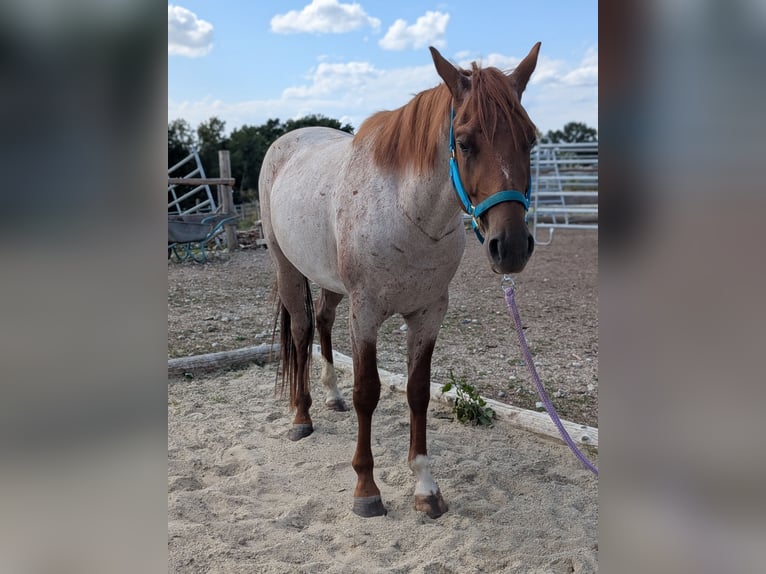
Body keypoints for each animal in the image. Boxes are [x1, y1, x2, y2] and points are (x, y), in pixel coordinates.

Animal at [259, 43, 541, 519]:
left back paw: (331, 396)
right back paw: (301, 416)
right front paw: (366, 489)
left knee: (323, 323)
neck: (408, 212)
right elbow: (368, 392)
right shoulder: (367, 314)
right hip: (288, 269)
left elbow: (418, 393)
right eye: (465, 142)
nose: (512, 246)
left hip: (331, 283)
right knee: (300, 332)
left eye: (531, 140)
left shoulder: (428, 315)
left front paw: (426, 487)